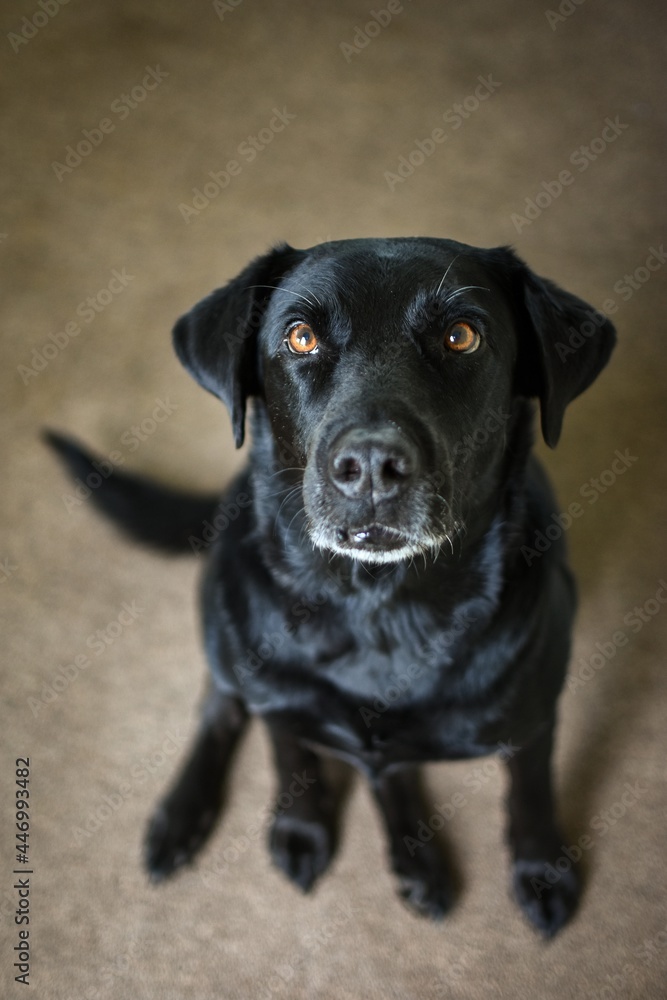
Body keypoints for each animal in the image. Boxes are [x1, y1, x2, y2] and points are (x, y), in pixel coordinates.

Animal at [48, 236, 616, 936]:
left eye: (461, 336)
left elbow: (532, 795)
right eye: (301, 338)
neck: (378, 608)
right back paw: (181, 815)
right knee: (219, 705)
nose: (371, 465)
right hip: (221, 619)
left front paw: (541, 872)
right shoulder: (278, 697)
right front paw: (301, 827)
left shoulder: (534, 720)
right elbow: (290, 755)